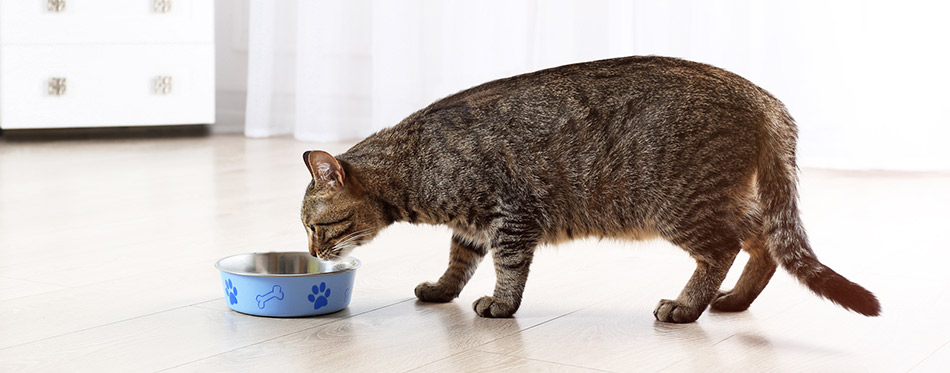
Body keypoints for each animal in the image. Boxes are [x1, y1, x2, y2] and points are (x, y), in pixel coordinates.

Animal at [302, 56, 880, 322]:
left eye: (314, 226)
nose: (314, 251)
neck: (413, 167)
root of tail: (764, 99)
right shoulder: (473, 225)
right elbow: (457, 261)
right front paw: (444, 289)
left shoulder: (511, 214)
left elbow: (508, 268)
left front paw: (501, 305)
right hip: (727, 201)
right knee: (765, 243)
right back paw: (734, 299)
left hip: (680, 205)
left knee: (725, 248)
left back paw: (687, 306)